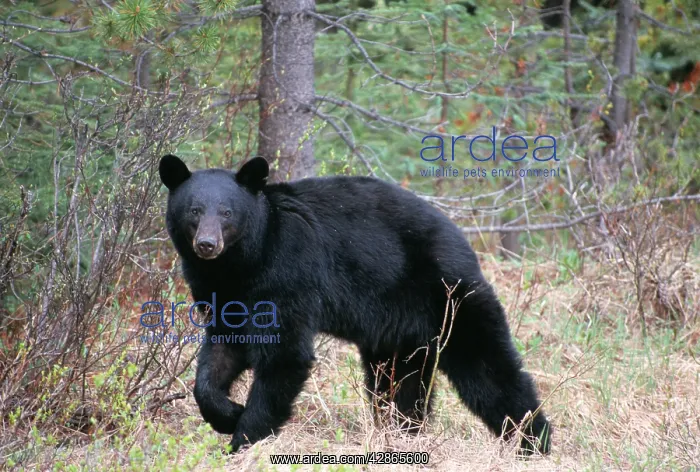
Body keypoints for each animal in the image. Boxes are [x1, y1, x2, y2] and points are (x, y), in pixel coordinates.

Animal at [158, 154, 551, 455]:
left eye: (227, 212)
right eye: (194, 211)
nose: (207, 244)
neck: (242, 263)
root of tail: (463, 242)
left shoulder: (288, 271)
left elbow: (285, 355)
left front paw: (244, 439)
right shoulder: (220, 293)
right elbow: (221, 353)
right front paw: (226, 412)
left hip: (451, 300)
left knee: (490, 371)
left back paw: (534, 440)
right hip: (398, 333)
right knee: (398, 385)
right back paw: (400, 435)